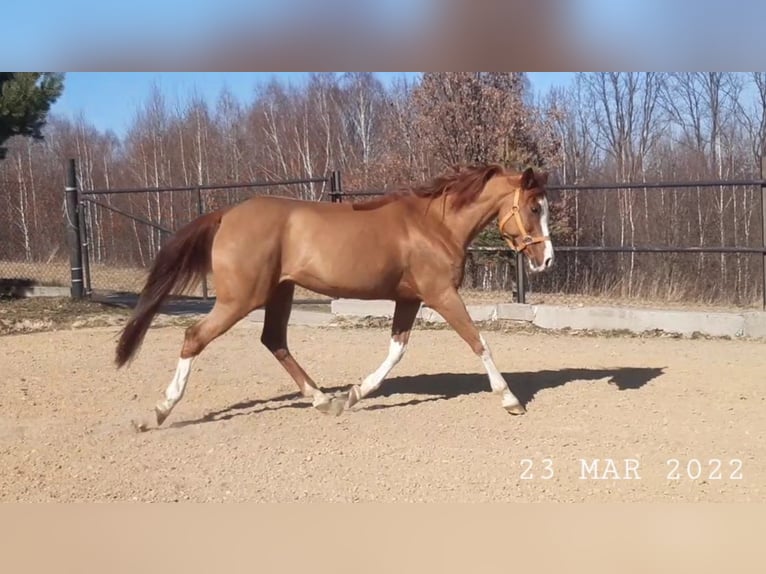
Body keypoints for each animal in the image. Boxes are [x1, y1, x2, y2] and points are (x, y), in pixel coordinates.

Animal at [115, 163, 554, 427]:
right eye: (534, 208)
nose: (546, 259)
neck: (435, 224)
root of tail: (226, 215)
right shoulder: (440, 293)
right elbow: (479, 342)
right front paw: (511, 399)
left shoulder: (409, 298)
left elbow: (396, 350)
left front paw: (354, 394)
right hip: (241, 299)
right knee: (194, 337)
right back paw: (159, 411)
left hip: (280, 293)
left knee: (274, 341)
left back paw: (323, 399)